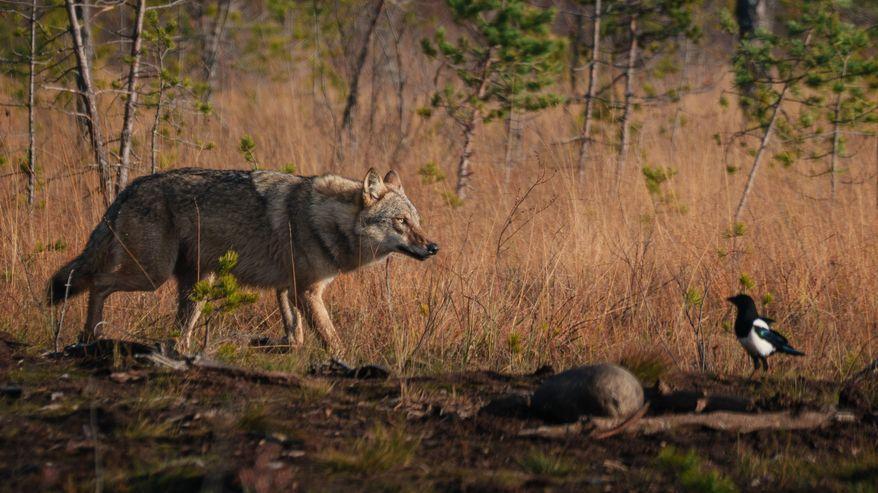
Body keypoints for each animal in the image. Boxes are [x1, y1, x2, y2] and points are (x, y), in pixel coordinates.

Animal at [46, 167, 439, 353]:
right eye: (401, 222)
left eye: (416, 220)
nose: (433, 247)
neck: (324, 220)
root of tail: (130, 186)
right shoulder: (307, 293)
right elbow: (331, 338)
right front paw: (347, 363)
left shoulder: (287, 290)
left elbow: (296, 336)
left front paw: (271, 346)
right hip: (151, 275)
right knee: (98, 283)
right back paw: (90, 335)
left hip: (195, 286)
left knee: (177, 335)